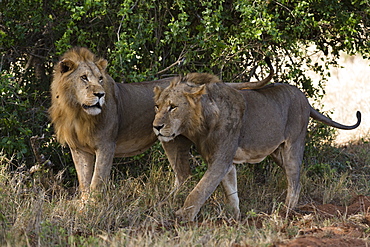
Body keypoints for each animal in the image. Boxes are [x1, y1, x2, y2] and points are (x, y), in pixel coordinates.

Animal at [49, 47, 274, 200]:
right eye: (84, 78)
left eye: (100, 79)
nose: (100, 94)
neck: (77, 112)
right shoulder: (79, 149)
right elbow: (84, 184)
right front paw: (83, 208)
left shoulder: (106, 145)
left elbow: (96, 183)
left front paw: (92, 209)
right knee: (182, 176)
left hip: (173, 140)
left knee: (184, 175)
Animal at [153, 72, 362, 221]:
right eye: (157, 106)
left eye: (173, 107)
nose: (156, 126)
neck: (202, 121)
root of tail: (304, 97)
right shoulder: (225, 162)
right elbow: (231, 191)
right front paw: (234, 217)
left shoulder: (220, 160)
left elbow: (200, 190)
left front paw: (183, 216)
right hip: (277, 153)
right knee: (297, 180)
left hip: (293, 145)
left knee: (294, 181)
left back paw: (285, 212)